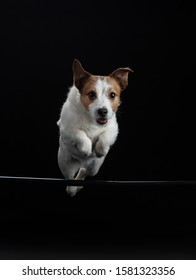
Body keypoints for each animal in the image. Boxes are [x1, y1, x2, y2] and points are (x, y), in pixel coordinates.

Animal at [57, 58, 132, 195]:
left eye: (112, 95)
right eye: (91, 95)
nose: (103, 111)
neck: (91, 119)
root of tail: (81, 162)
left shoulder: (113, 129)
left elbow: (105, 136)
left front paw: (101, 149)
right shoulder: (65, 127)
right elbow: (79, 133)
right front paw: (86, 147)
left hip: (94, 167)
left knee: (84, 171)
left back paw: (79, 184)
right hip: (65, 163)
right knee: (70, 177)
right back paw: (72, 188)